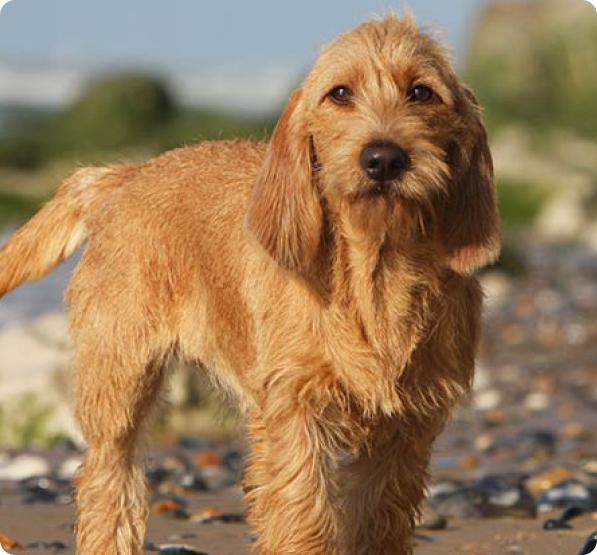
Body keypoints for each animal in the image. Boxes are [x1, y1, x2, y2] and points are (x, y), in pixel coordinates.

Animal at [0, 13, 498, 555]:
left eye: (421, 92)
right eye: (340, 93)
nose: (383, 158)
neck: (377, 271)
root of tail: (125, 175)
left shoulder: (405, 431)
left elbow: (378, 520)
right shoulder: (294, 413)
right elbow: (303, 515)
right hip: (118, 386)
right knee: (108, 485)